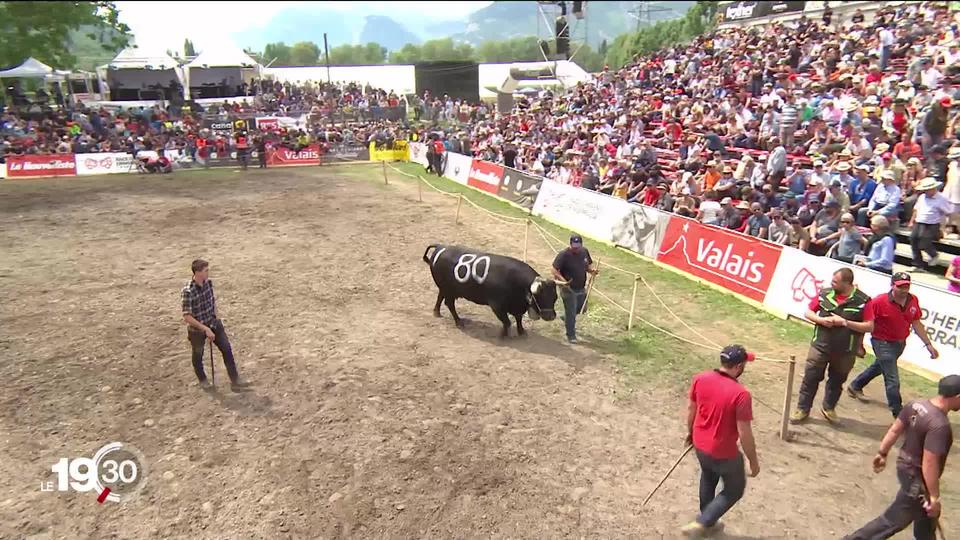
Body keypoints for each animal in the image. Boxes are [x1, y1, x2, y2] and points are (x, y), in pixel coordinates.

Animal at [420, 245, 564, 338]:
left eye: (555, 297)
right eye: (540, 296)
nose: (551, 316)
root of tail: (441, 246)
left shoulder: (517, 306)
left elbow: (518, 319)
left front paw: (522, 332)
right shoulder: (497, 305)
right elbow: (507, 321)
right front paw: (503, 335)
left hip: (445, 288)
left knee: (440, 297)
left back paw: (437, 312)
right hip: (449, 290)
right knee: (449, 303)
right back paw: (459, 322)